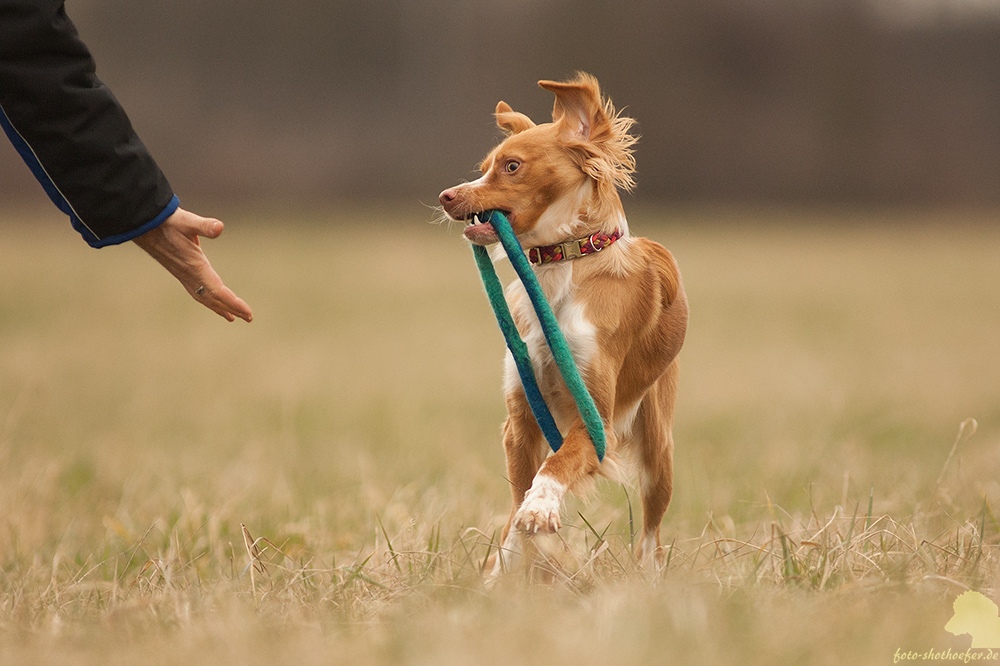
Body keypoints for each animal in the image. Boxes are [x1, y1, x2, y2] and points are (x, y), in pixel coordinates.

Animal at [438, 72, 688, 572]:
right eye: (486, 166)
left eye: (512, 166)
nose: (446, 196)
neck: (561, 269)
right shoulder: (520, 418)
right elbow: (516, 508)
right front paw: (504, 572)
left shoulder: (598, 420)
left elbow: (557, 466)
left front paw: (541, 505)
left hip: (659, 451)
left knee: (651, 535)